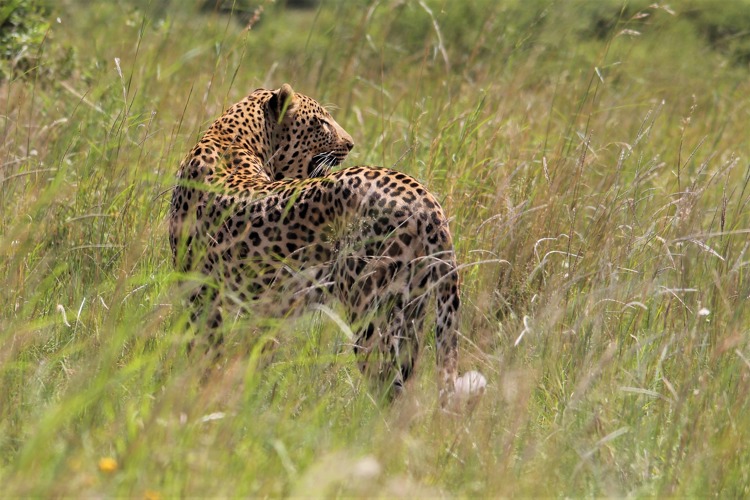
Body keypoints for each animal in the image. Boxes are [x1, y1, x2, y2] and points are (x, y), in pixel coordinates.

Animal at [169, 84, 482, 404]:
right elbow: (249, 354)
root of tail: (425, 197)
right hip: (412, 309)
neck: (232, 139)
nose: (351, 144)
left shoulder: (199, 291)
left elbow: (206, 351)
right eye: (321, 122)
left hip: (369, 308)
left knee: (388, 384)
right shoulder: (259, 307)